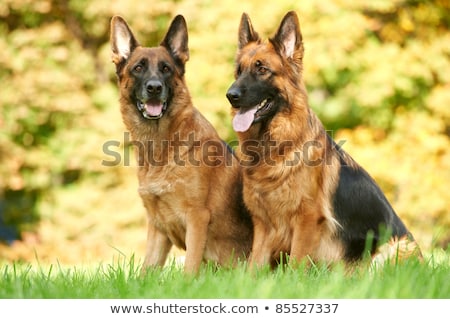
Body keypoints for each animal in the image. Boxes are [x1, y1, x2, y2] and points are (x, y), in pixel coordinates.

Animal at [110, 15, 253, 274]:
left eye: (166, 69)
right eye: (138, 68)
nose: (154, 87)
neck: (162, 149)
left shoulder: (197, 218)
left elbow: (189, 269)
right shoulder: (157, 228)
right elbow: (146, 271)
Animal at [227, 11, 420, 268]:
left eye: (262, 70)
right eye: (239, 71)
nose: (231, 95)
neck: (275, 145)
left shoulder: (307, 219)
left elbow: (296, 263)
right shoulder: (263, 225)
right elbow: (252, 267)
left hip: (392, 248)